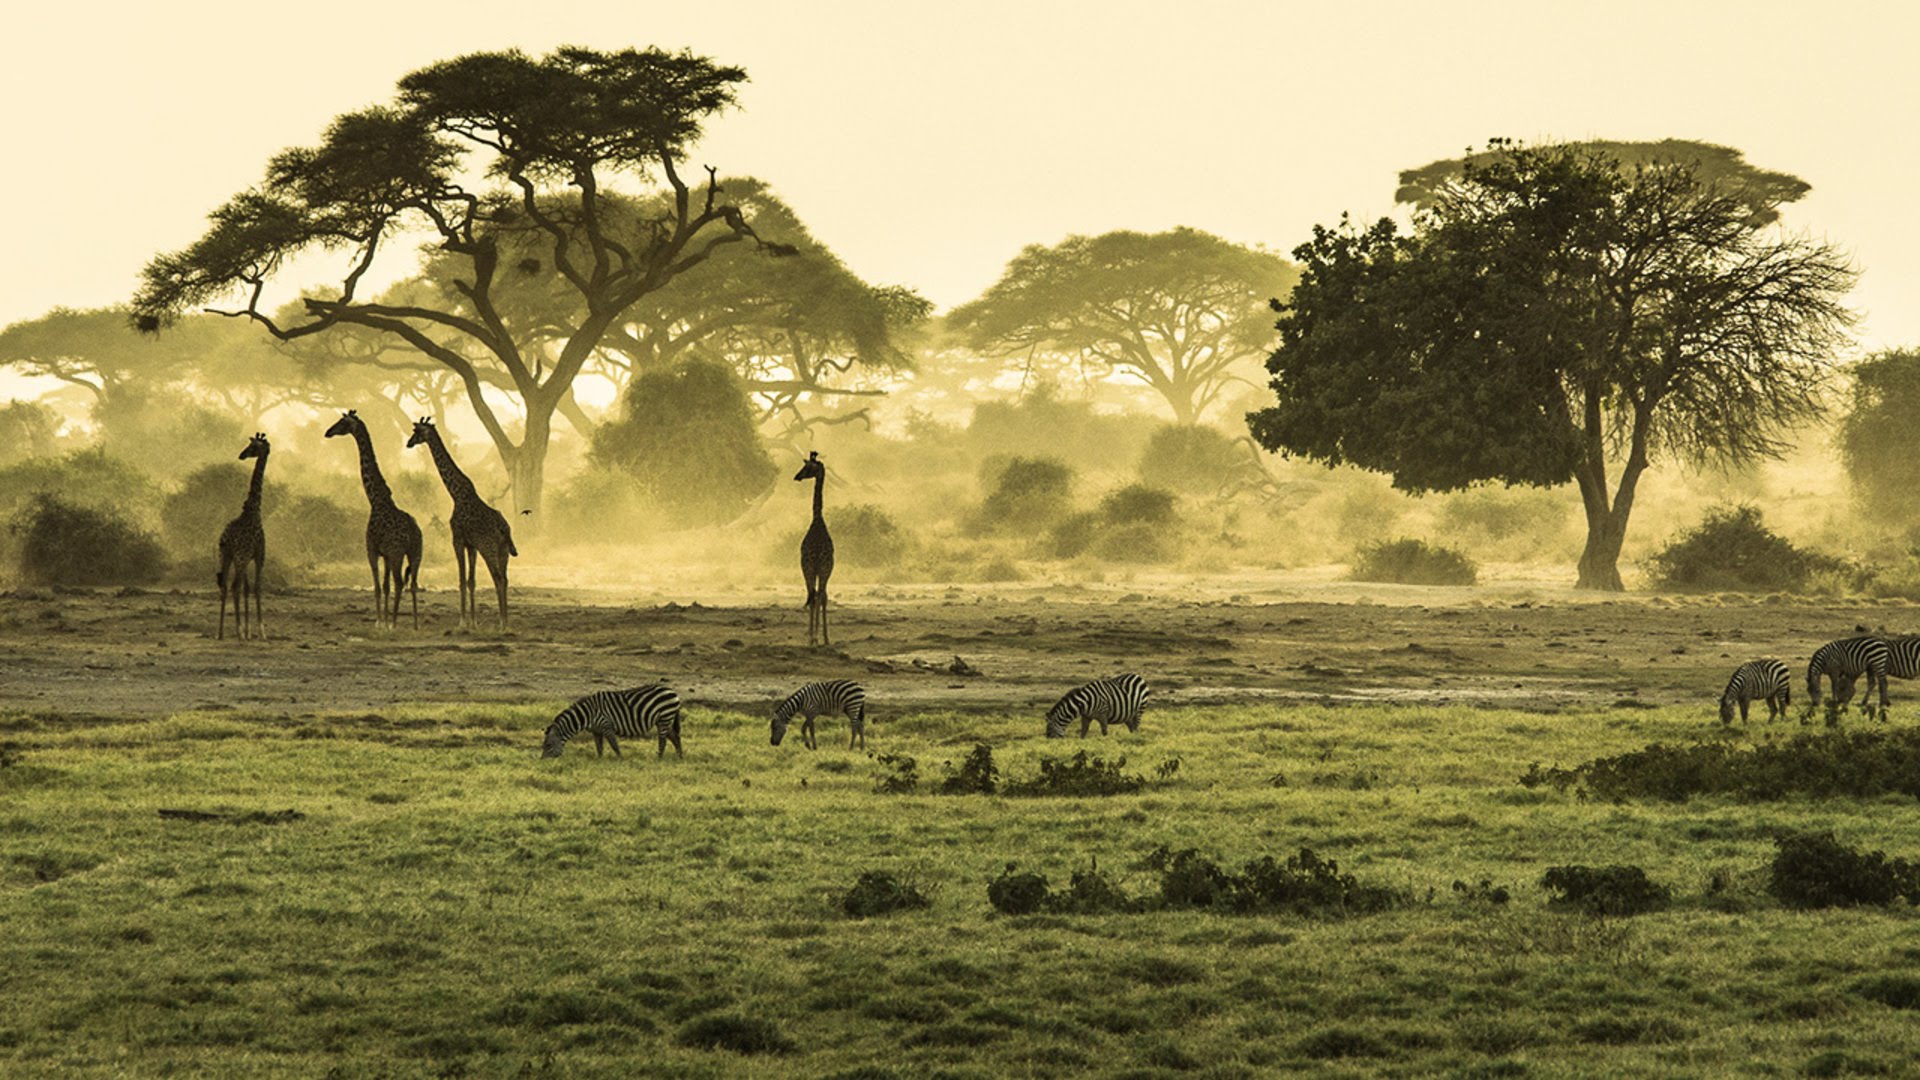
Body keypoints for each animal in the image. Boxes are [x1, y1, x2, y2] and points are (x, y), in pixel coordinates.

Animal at [216, 432, 270, 638]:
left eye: (253, 447)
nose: (242, 455)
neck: (253, 509)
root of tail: (226, 539)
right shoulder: (259, 555)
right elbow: (256, 587)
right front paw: (260, 631)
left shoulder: (248, 557)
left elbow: (247, 588)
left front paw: (248, 631)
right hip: (239, 557)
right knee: (234, 586)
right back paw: (238, 632)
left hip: (225, 555)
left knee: (224, 586)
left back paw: (220, 633)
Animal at [324, 411, 422, 630]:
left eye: (342, 422)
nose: (328, 432)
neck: (376, 500)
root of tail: (414, 533)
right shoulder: (385, 554)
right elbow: (385, 587)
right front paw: (383, 620)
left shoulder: (372, 550)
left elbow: (377, 587)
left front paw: (380, 621)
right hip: (415, 554)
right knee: (412, 584)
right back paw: (414, 624)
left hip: (397, 553)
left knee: (400, 582)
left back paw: (395, 623)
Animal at [407, 413, 518, 630]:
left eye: (417, 431)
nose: (408, 443)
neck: (456, 494)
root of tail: (504, 529)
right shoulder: (471, 545)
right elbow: (471, 581)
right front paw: (473, 621)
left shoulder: (457, 539)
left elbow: (460, 579)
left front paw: (462, 622)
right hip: (503, 550)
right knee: (506, 579)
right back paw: (506, 621)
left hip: (488, 547)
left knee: (498, 578)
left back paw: (502, 622)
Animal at [541, 680, 683, 757]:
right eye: (544, 745)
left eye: (548, 745)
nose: (542, 761)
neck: (588, 715)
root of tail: (672, 690)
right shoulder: (596, 731)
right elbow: (599, 747)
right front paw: (600, 761)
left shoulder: (606, 726)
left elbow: (614, 745)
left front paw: (620, 759)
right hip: (663, 719)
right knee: (675, 737)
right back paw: (679, 757)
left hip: (665, 717)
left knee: (663, 741)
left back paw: (659, 758)